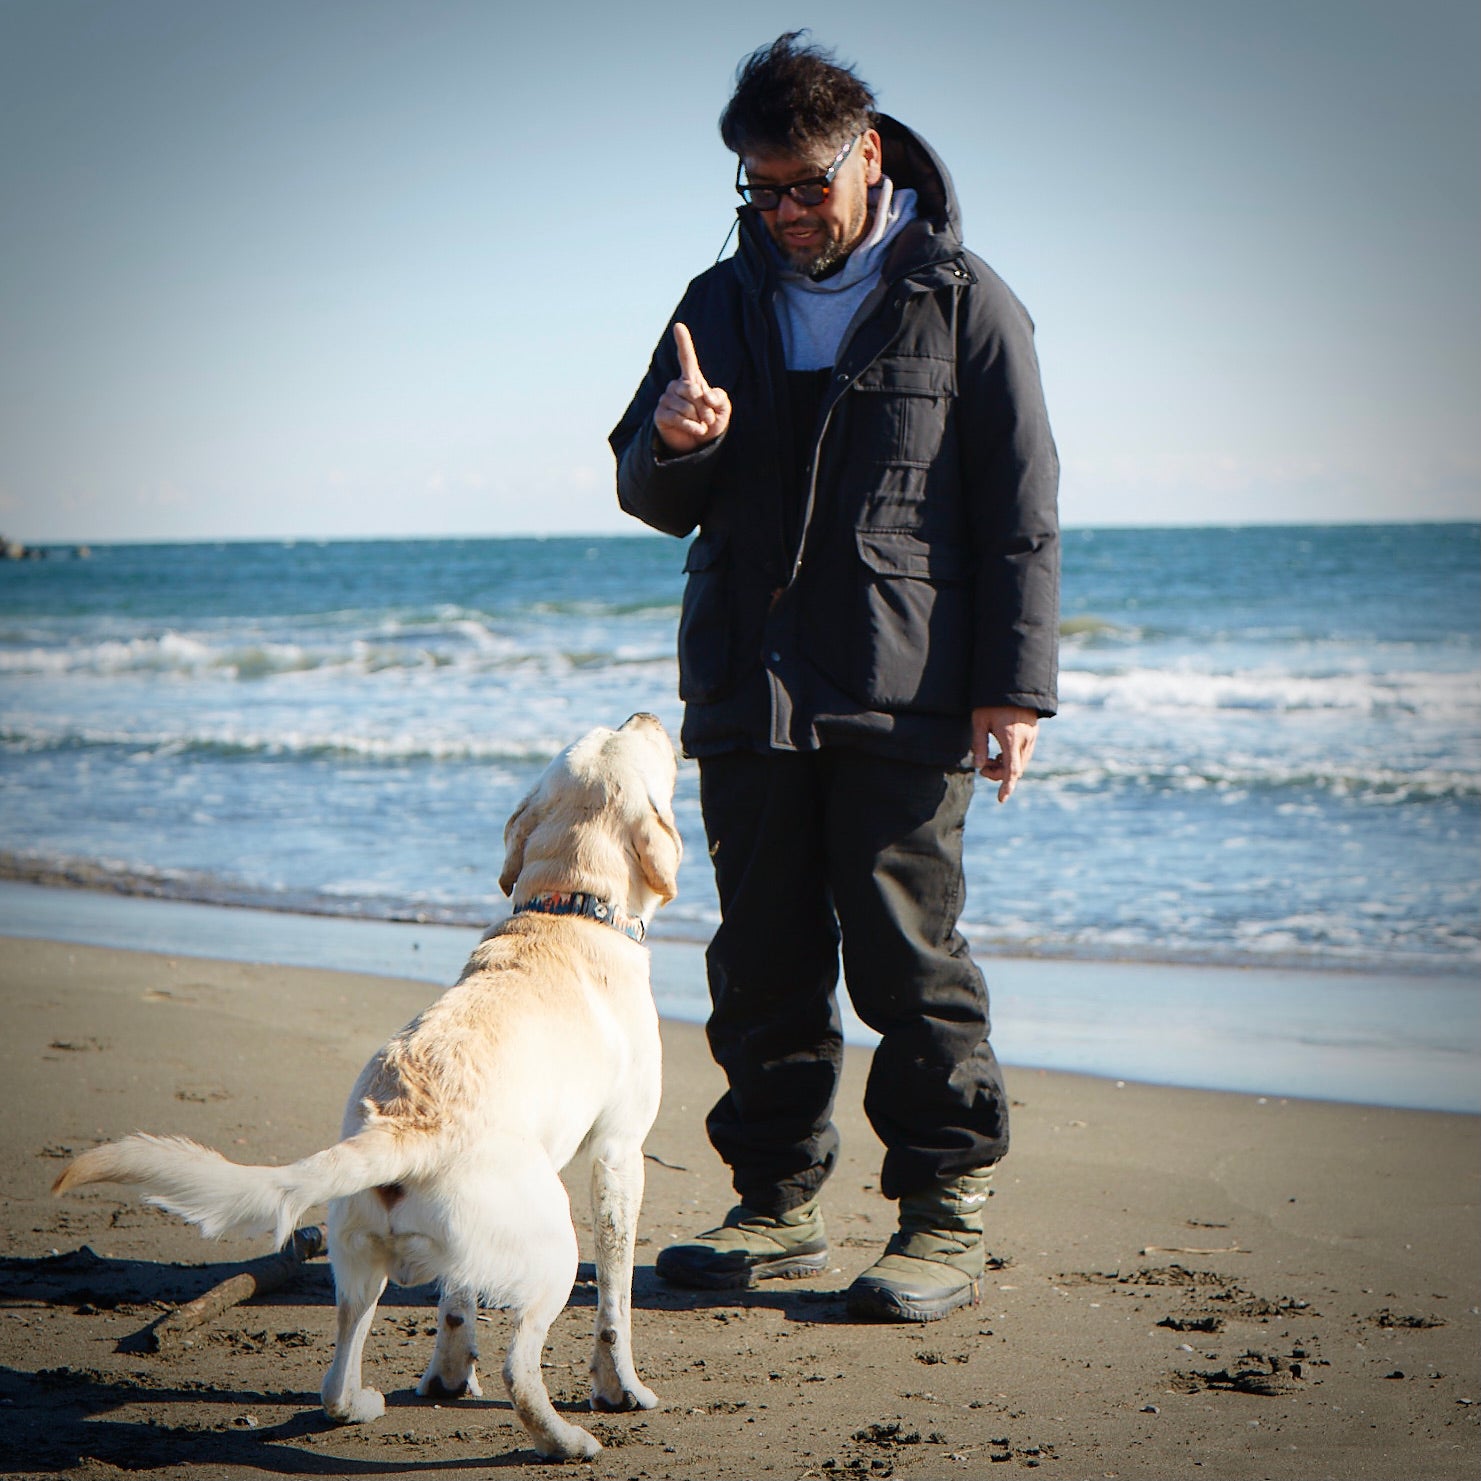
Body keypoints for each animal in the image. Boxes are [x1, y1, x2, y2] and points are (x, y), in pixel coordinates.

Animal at [54, 713, 678, 1457]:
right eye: (628, 737)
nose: (647, 716)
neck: (568, 909)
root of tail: (405, 1127)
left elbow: (456, 1305)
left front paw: (445, 1378)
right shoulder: (620, 1154)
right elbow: (615, 1299)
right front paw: (621, 1389)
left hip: (354, 1263)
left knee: (336, 1374)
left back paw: (361, 1403)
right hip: (554, 1253)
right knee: (519, 1368)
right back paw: (566, 1439)